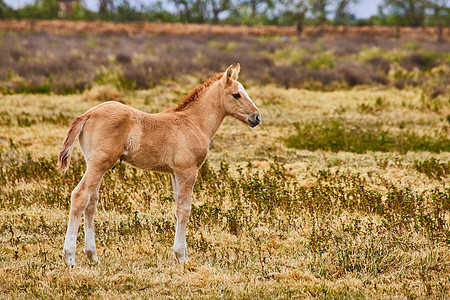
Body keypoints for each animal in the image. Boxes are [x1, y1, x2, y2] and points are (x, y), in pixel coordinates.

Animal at [58, 64, 260, 266]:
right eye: (236, 95)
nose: (256, 117)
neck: (194, 122)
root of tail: (88, 114)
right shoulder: (187, 171)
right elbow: (184, 210)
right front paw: (182, 257)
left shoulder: (175, 173)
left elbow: (178, 209)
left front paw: (179, 255)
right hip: (99, 164)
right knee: (79, 196)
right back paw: (70, 257)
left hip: (95, 165)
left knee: (91, 203)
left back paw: (93, 256)